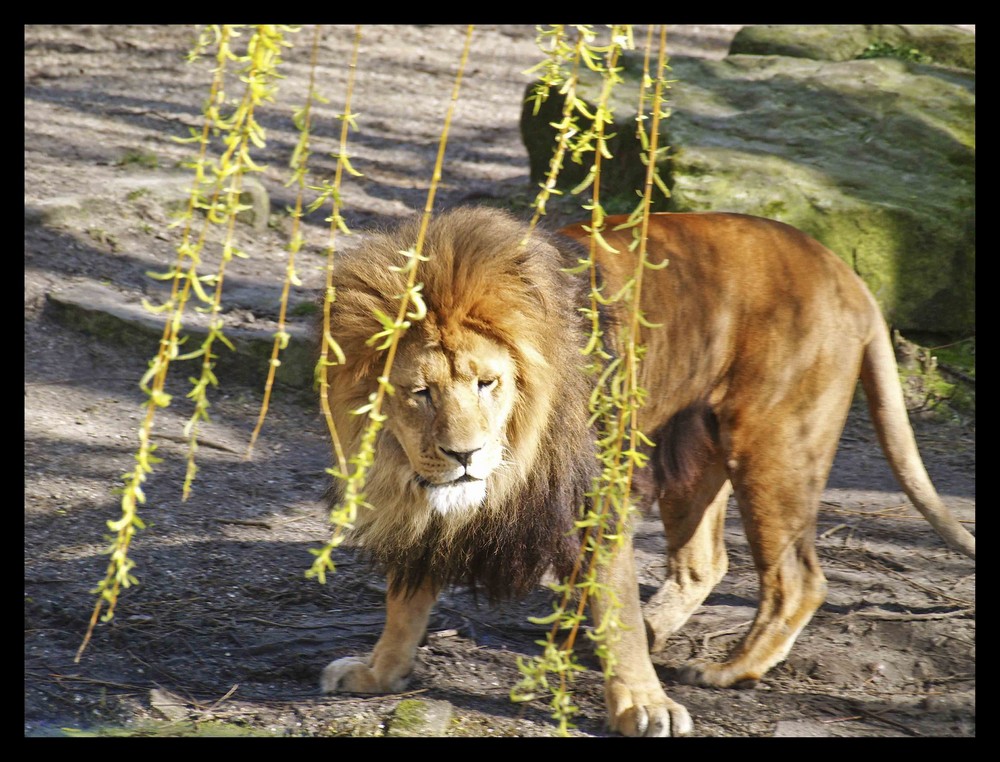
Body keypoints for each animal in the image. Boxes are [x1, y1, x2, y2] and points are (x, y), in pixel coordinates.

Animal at [320, 206, 976, 736]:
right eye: (420, 393)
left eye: (487, 382)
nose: (465, 455)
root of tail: (844, 271)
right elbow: (405, 598)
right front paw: (380, 671)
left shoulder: (596, 496)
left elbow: (619, 612)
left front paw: (643, 705)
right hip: (697, 450)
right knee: (705, 561)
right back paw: (649, 632)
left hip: (775, 448)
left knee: (798, 579)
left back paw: (727, 669)